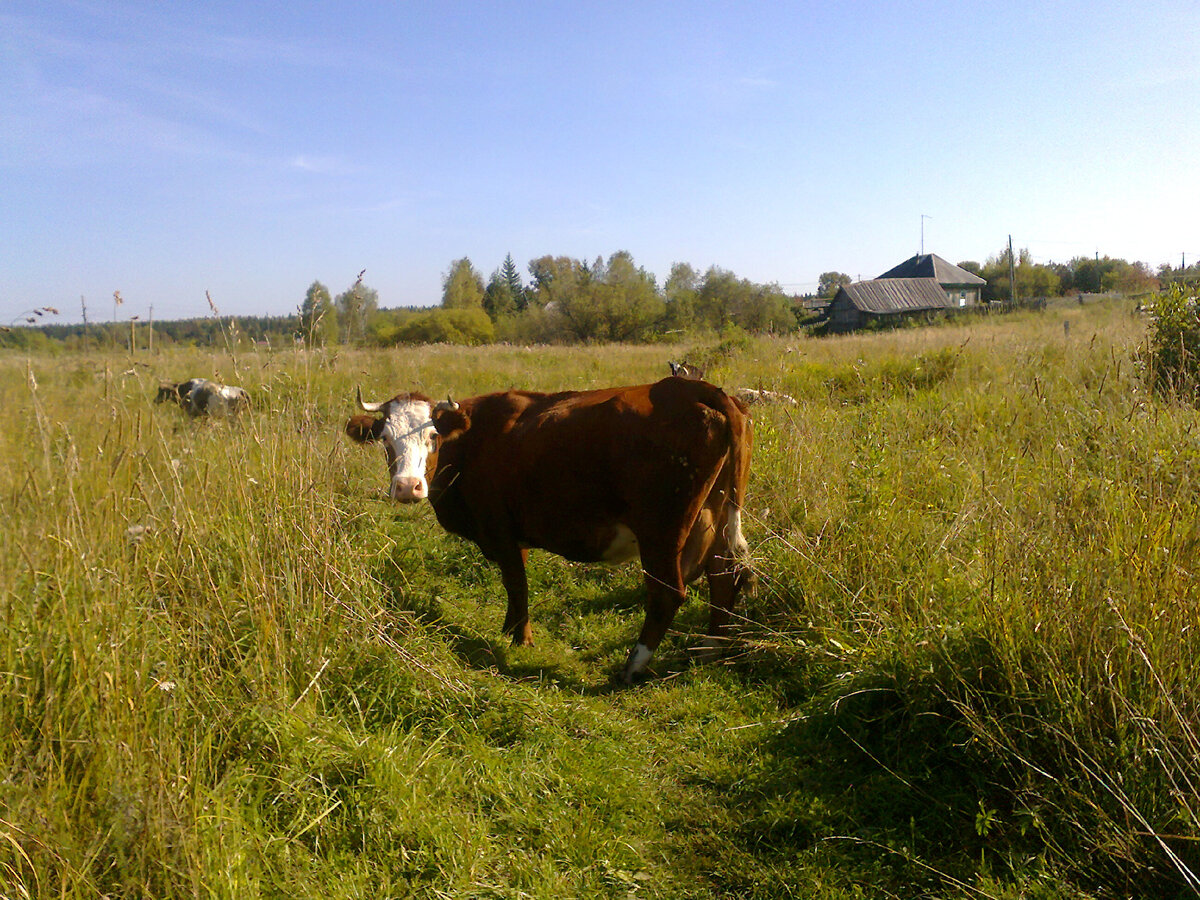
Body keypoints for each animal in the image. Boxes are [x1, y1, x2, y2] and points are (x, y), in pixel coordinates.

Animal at [348, 374, 753, 681]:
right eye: (385, 440)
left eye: (432, 437)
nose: (407, 487)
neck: (472, 441)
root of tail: (693, 388)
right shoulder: (514, 533)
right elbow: (515, 586)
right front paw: (510, 628)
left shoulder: (498, 528)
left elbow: (517, 583)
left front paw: (521, 640)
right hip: (715, 518)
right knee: (724, 577)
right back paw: (712, 649)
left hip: (661, 533)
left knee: (668, 593)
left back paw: (632, 667)